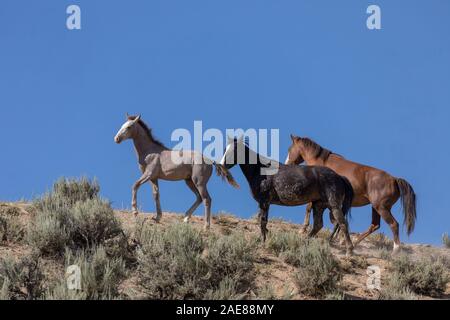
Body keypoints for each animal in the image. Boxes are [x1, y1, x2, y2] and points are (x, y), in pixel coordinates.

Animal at [221, 137, 356, 255]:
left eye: (235, 150)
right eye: (225, 149)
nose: (221, 165)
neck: (260, 170)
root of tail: (340, 177)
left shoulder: (264, 202)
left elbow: (263, 221)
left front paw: (263, 242)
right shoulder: (264, 203)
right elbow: (262, 221)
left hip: (333, 205)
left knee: (342, 223)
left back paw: (349, 251)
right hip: (319, 205)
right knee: (318, 225)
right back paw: (304, 243)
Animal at [286, 134, 416, 251]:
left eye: (289, 149)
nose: (287, 164)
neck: (322, 163)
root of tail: (394, 179)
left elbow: (309, 208)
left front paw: (302, 229)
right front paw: (340, 238)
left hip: (381, 208)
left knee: (394, 224)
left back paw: (396, 250)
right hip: (376, 207)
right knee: (375, 225)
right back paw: (353, 242)